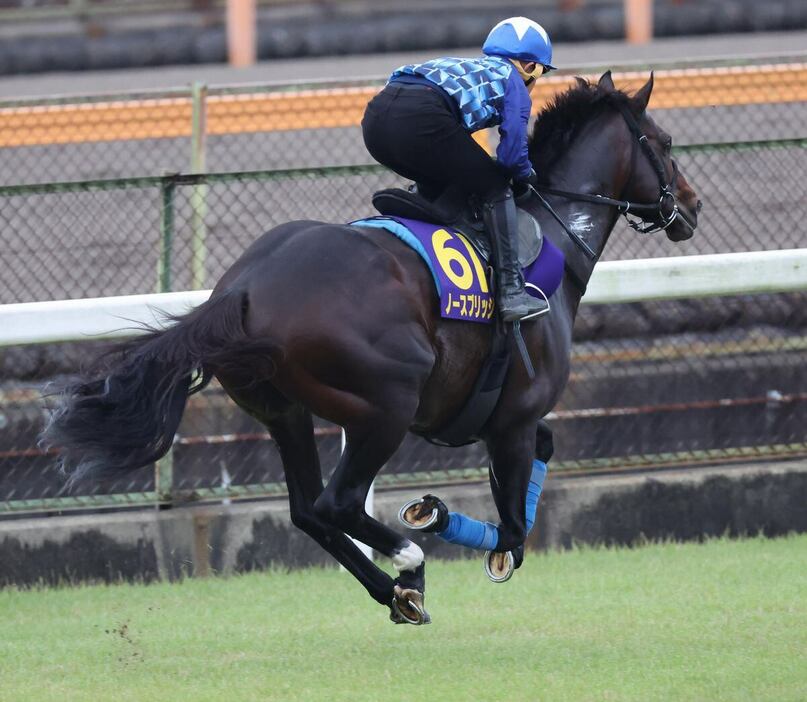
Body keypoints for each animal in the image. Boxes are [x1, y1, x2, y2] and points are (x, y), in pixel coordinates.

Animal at [44, 73, 700, 628]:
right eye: (665, 141)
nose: (691, 207)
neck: (552, 234)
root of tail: (242, 288)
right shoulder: (513, 417)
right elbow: (514, 531)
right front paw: (439, 517)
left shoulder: (507, 419)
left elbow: (541, 460)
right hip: (385, 405)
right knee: (336, 503)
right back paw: (409, 561)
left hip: (284, 410)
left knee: (308, 510)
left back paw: (397, 592)